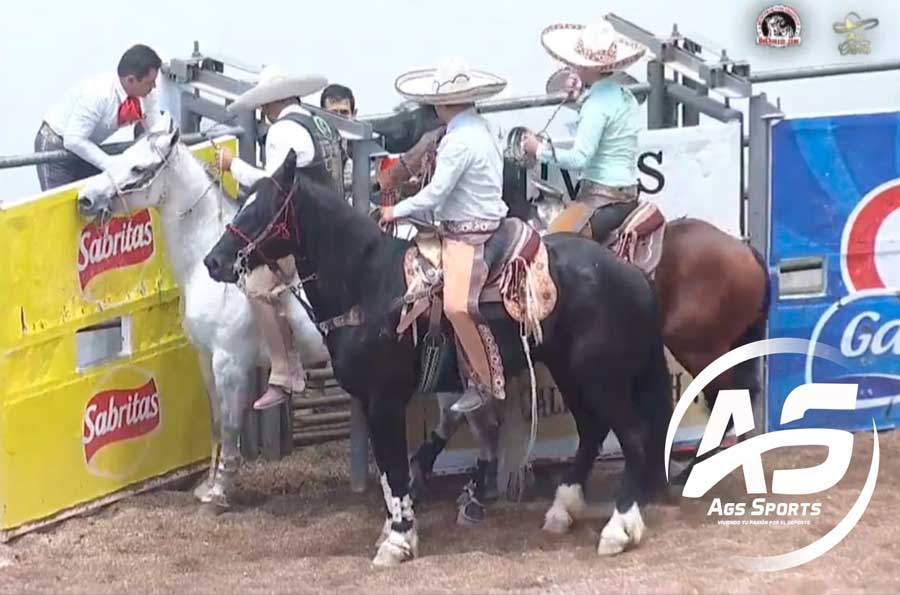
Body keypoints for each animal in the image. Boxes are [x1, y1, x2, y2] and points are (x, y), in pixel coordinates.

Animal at [74, 124, 326, 512]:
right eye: (122, 155)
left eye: (137, 167)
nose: (86, 199)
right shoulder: (206, 357)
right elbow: (217, 420)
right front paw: (207, 485)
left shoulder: (230, 362)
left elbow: (232, 426)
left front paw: (219, 494)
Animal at [200, 151, 672, 564]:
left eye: (262, 210)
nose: (213, 261)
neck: (369, 285)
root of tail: (632, 275)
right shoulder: (371, 402)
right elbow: (390, 473)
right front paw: (395, 529)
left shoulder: (386, 398)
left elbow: (394, 466)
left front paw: (397, 542)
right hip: (571, 372)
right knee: (592, 431)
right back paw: (562, 510)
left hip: (601, 377)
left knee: (632, 437)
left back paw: (618, 529)